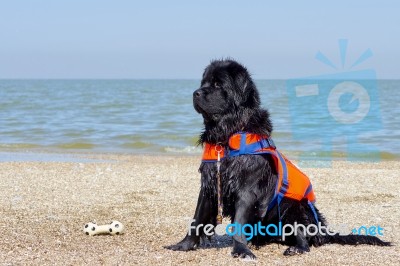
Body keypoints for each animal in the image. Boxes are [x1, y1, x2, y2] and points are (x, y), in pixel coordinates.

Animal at [166, 58, 390, 260]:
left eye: (218, 84)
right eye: (203, 82)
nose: (195, 93)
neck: (229, 134)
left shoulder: (247, 188)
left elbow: (238, 221)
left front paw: (241, 250)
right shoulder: (210, 183)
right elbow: (196, 219)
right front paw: (183, 245)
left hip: (295, 206)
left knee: (303, 237)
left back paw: (295, 248)